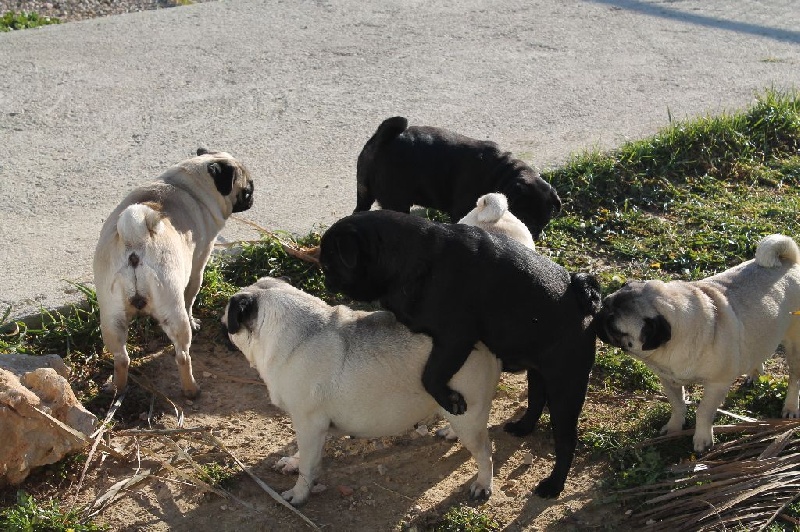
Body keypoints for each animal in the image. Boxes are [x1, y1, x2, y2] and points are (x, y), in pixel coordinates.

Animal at [318, 209, 600, 498]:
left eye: (330, 266)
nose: (326, 280)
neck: (412, 256)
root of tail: (584, 304)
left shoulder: (454, 338)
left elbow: (430, 376)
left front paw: (449, 399)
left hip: (566, 387)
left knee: (565, 440)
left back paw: (553, 485)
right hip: (539, 372)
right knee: (535, 400)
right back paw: (522, 427)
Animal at [354, 118, 560, 239]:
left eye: (544, 223)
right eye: (525, 217)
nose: (535, 234)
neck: (501, 174)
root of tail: (383, 141)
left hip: (364, 192)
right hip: (396, 201)